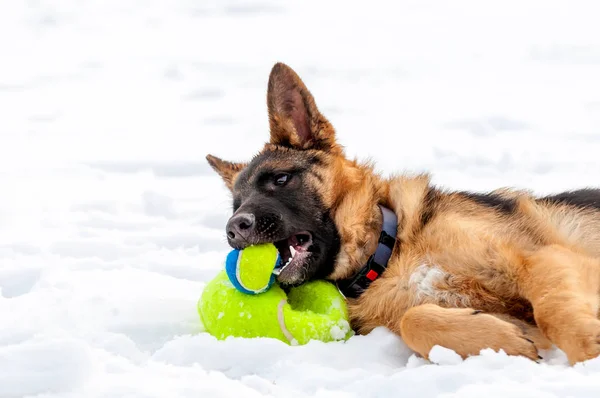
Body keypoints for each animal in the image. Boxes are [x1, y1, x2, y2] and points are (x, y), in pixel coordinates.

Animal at [206, 61, 600, 364]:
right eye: (237, 205)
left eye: (281, 179)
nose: (234, 229)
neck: (386, 255)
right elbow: (414, 320)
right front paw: (498, 341)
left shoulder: (542, 259)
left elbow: (553, 310)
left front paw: (588, 354)